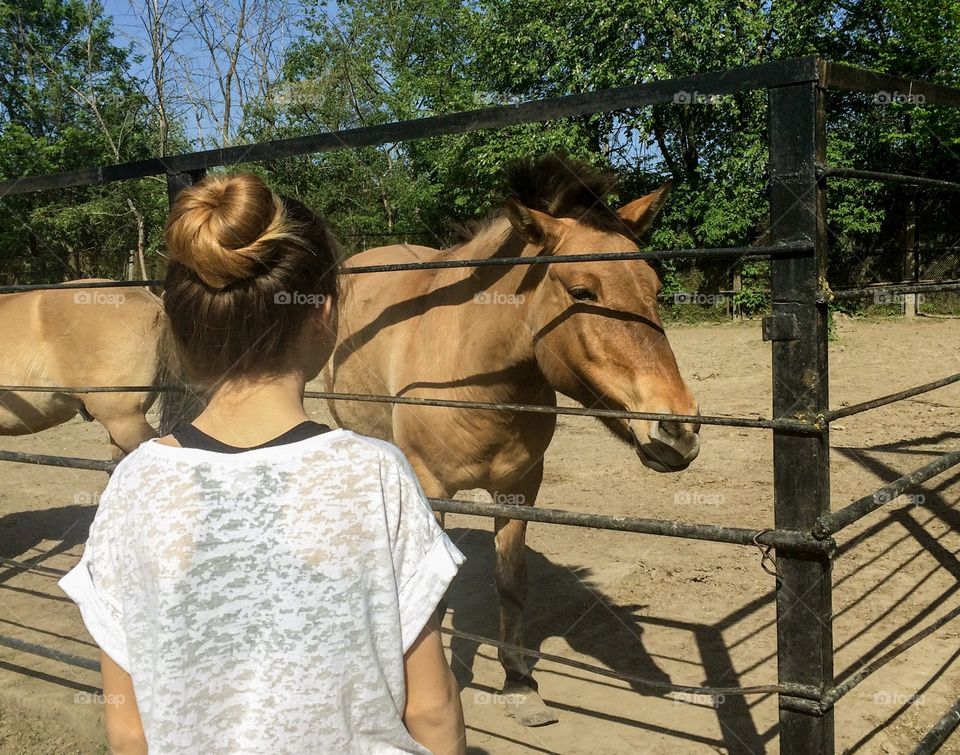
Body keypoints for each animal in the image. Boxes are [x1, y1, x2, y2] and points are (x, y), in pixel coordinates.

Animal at [324, 155, 701, 726]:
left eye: (654, 289)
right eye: (583, 292)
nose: (677, 429)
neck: (476, 377)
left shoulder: (521, 488)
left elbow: (512, 582)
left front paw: (520, 683)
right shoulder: (433, 490)